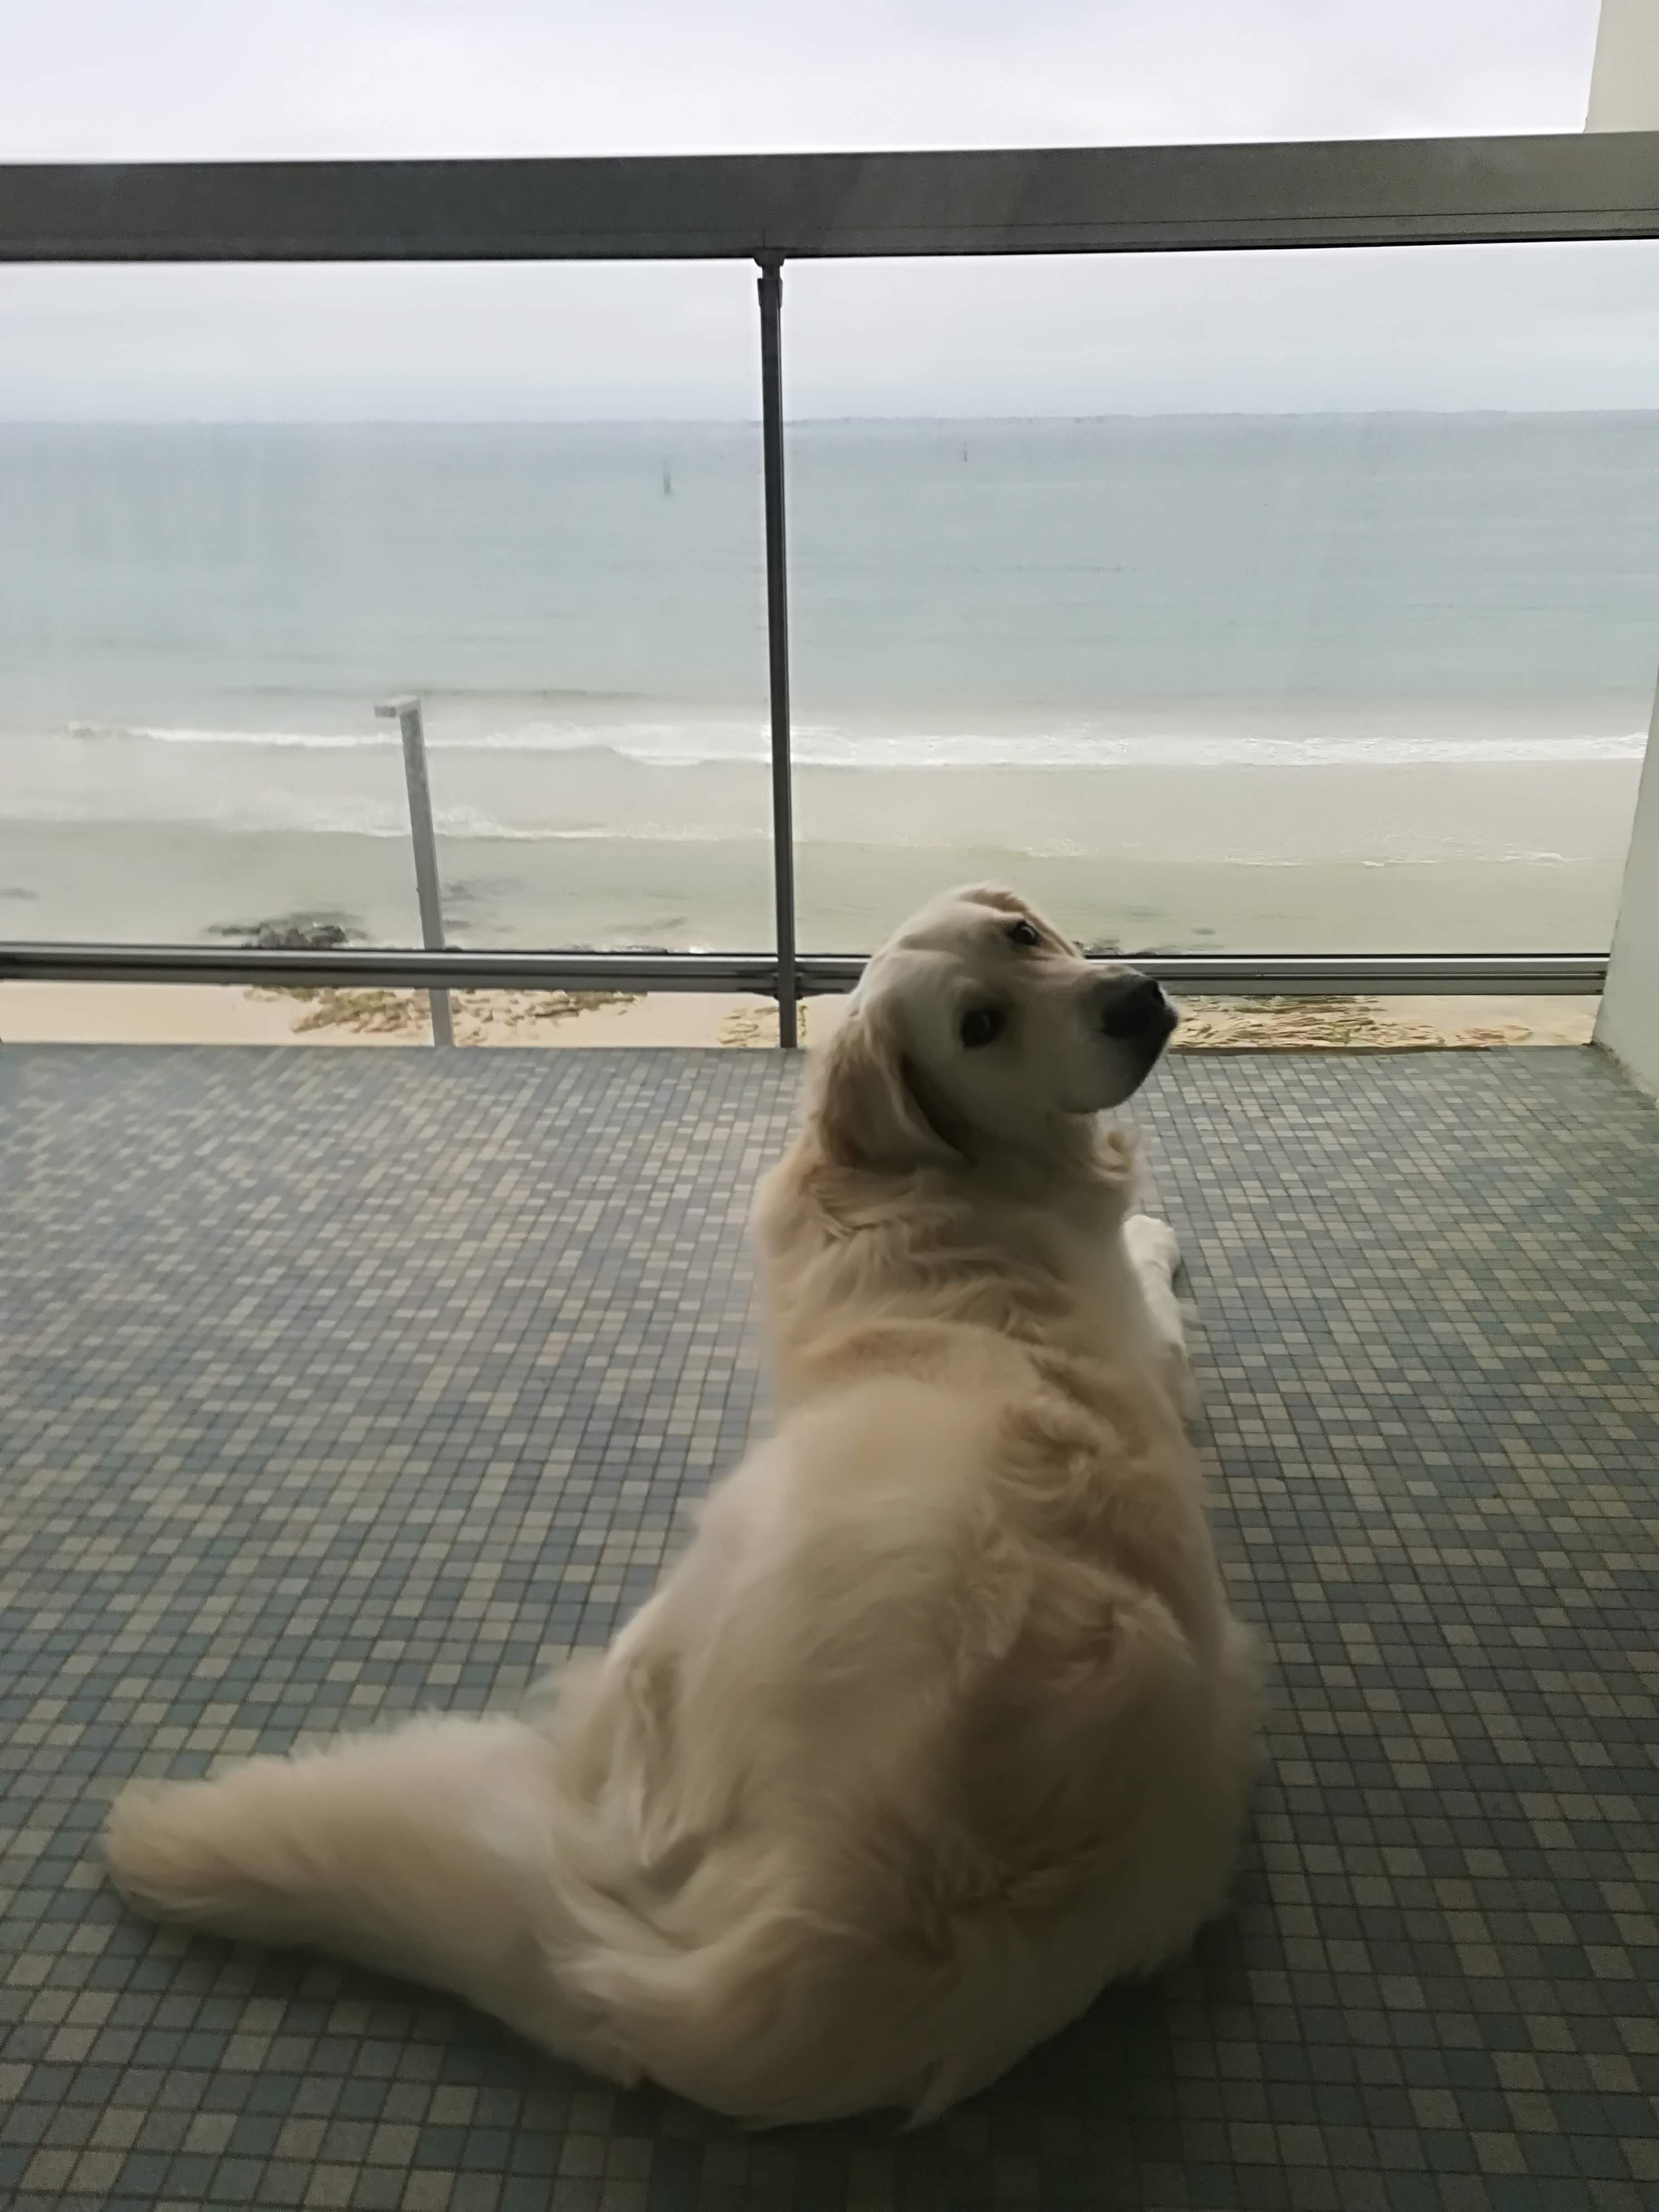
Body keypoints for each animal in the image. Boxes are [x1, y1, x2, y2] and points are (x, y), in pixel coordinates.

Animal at [104, 884, 1258, 2125]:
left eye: (1026, 936)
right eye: (980, 1025)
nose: (1136, 998)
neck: (921, 1177)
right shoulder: (1153, 1352)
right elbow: (1153, 1288)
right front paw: (1154, 1232)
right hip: (716, 1562)